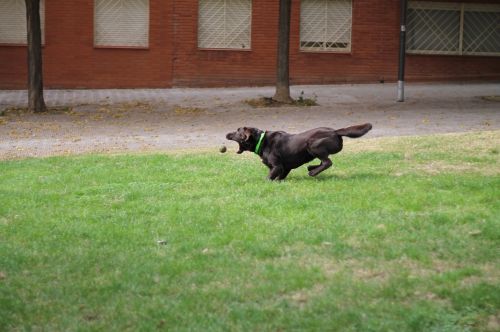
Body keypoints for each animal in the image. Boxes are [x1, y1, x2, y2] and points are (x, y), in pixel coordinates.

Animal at [226, 124, 372, 180]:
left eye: (237, 131)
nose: (227, 134)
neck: (261, 140)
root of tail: (335, 131)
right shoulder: (285, 168)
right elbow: (279, 177)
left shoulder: (277, 166)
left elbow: (269, 177)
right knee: (323, 161)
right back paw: (311, 168)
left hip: (313, 145)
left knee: (327, 162)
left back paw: (313, 172)